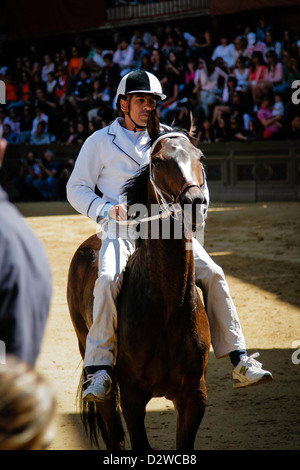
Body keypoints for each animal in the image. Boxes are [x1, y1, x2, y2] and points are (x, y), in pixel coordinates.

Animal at [67, 111, 210, 452]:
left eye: (200, 157)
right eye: (157, 161)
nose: (195, 202)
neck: (167, 307)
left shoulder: (194, 397)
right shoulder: (132, 399)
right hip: (90, 355)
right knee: (112, 431)